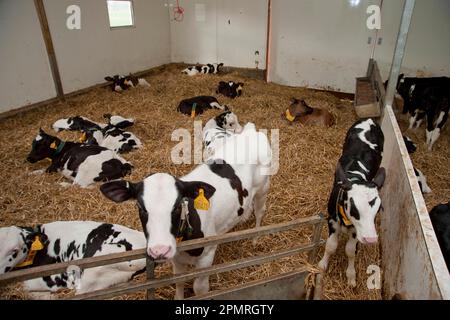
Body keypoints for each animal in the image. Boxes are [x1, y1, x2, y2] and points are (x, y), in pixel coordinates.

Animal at [316, 118, 386, 288]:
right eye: (354, 208)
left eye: (378, 209)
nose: (371, 239)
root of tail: (369, 119)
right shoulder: (332, 220)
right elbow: (330, 246)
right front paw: (322, 265)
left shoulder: (356, 230)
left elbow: (350, 250)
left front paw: (351, 276)